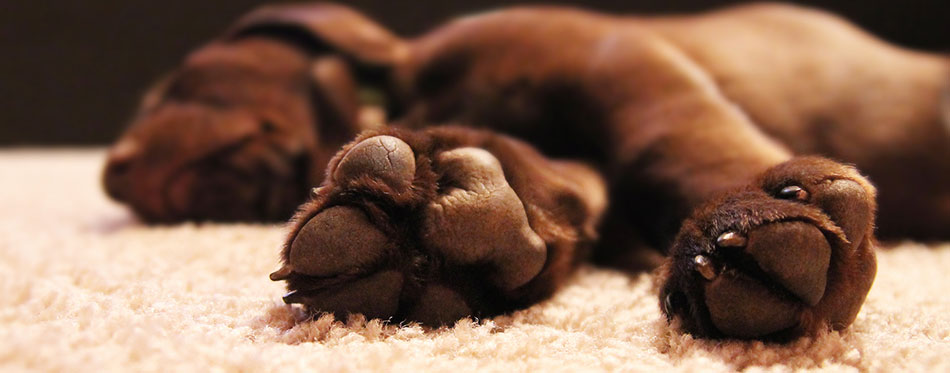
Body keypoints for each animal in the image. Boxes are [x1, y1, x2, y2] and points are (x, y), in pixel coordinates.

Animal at [106, 3, 950, 340]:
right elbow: (535, 178)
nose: (110, 177)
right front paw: (430, 230)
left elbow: (671, 139)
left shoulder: (615, 59)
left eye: (176, 84)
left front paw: (747, 213)